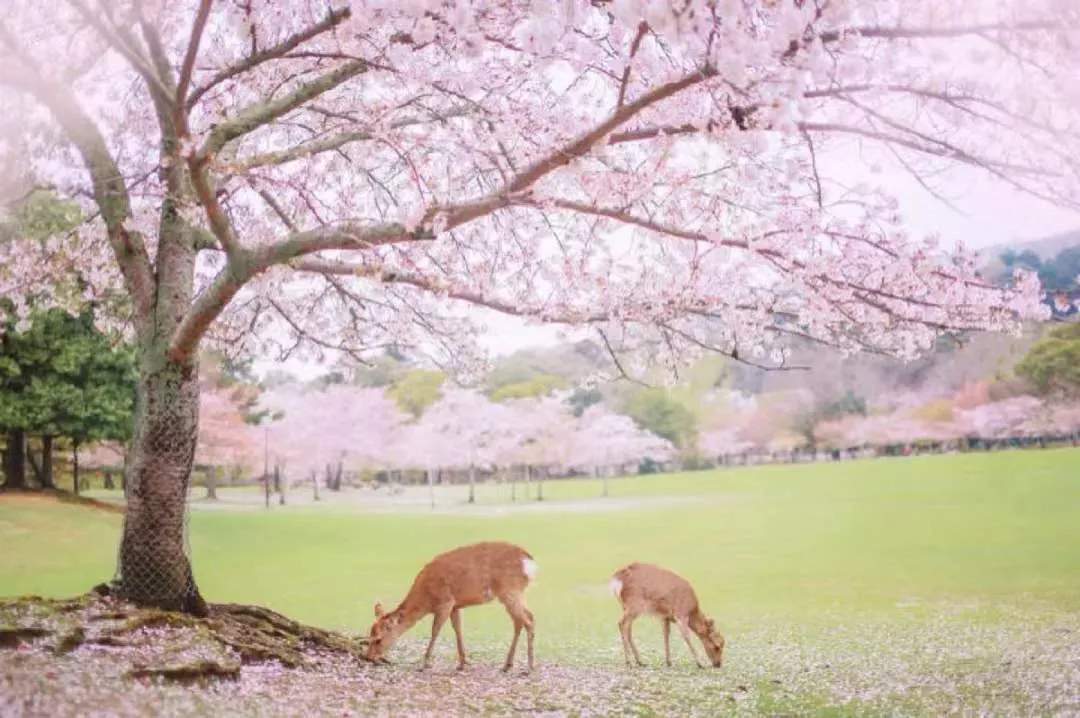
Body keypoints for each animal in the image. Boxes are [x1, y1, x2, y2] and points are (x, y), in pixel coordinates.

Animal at [365, 539, 537, 669]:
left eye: (378, 639)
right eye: (370, 634)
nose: (368, 657)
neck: (427, 599)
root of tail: (530, 562)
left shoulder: (445, 602)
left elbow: (435, 631)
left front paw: (425, 663)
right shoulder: (456, 605)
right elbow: (458, 629)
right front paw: (462, 663)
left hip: (510, 590)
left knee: (527, 620)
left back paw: (529, 666)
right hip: (513, 593)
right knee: (523, 619)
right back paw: (508, 664)